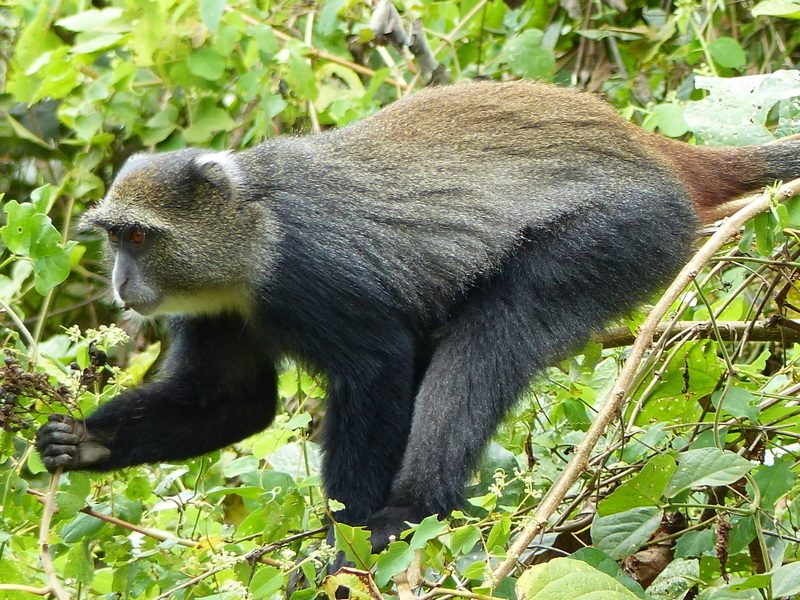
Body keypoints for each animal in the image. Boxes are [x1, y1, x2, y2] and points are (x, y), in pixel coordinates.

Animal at [36, 81, 800, 552]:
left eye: (138, 238)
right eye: (114, 238)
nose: (121, 282)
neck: (251, 233)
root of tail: (656, 153)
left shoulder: (311, 274)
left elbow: (378, 367)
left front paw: (345, 541)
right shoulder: (220, 307)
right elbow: (231, 400)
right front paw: (84, 442)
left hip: (621, 234)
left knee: (495, 331)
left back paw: (413, 508)